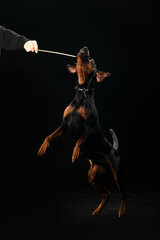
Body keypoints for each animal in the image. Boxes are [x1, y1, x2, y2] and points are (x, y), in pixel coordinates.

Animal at [38, 46, 127, 218]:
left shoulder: (90, 128)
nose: (84, 48)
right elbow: (49, 136)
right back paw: (97, 211)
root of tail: (114, 149)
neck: (82, 93)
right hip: (93, 175)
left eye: (91, 59)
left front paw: (75, 152)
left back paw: (122, 211)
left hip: (117, 172)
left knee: (123, 194)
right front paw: (43, 148)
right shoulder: (64, 125)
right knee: (107, 194)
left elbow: (80, 140)